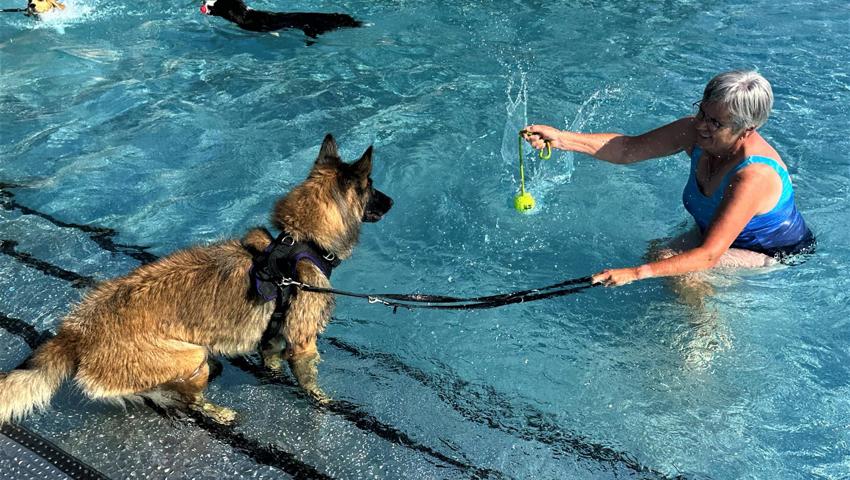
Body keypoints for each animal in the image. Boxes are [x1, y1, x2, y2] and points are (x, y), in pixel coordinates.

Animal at [0, 135, 392, 424]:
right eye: (372, 186)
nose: (392, 202)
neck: (299, 241)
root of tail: (76, 333)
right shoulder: (304, 345)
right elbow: (311, 384)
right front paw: (323, 402)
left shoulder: (273, 340)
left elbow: (272, 361)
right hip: (191, 356)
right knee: (189, 397)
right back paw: (216, 411)